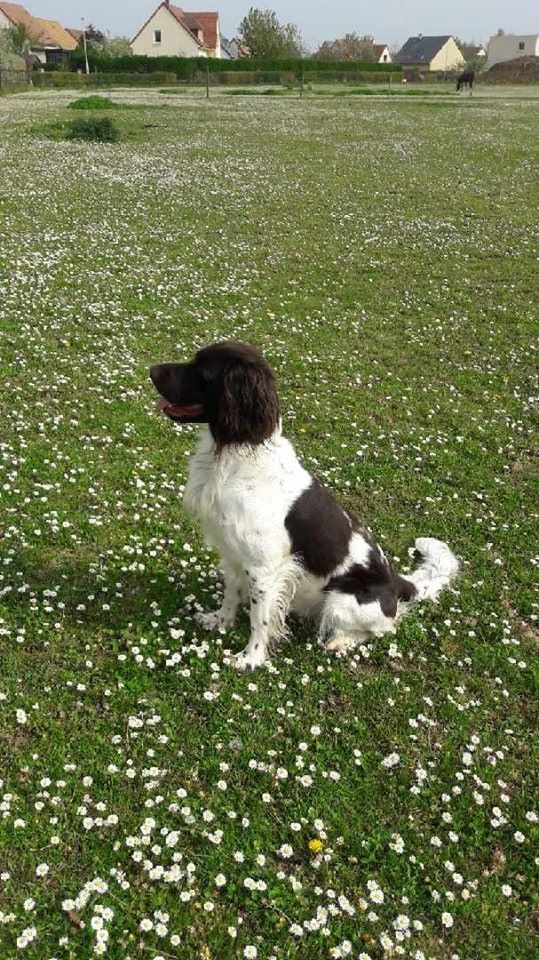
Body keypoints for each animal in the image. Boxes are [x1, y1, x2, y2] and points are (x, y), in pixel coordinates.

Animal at [151, 344, 460, 668]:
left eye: (203, 371)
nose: (151, 370)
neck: (234, 456)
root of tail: (398, 583)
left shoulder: (264, 569)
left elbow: (259, 621)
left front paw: (250, 659)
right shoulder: (234, 553)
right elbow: (231, 595)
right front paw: (220, 622)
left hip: (340, 599)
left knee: (383, 627)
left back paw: (339, 641)